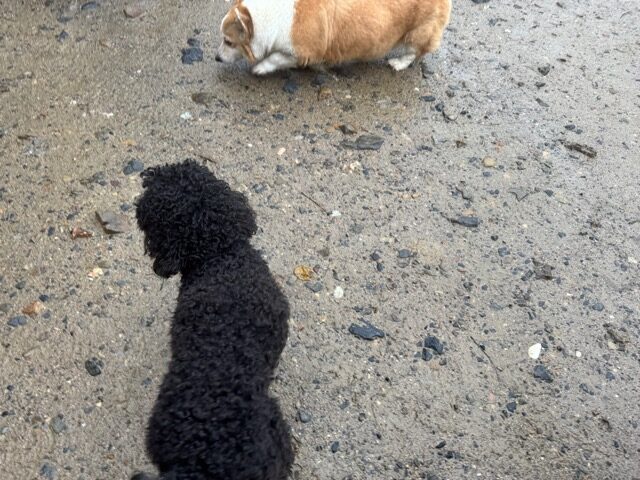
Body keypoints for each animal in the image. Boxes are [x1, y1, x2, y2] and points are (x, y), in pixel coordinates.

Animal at [215, 0, 451, 75]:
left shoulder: (303, 53)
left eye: (229, 41)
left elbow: (276, 58)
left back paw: (398, 63)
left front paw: (260, 68)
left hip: (417, 33)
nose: (216, 59)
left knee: (414, 51)